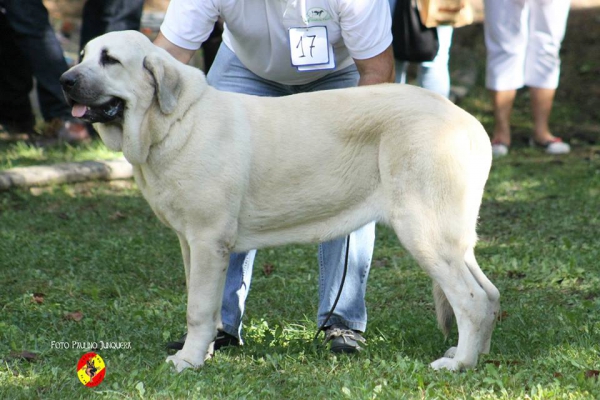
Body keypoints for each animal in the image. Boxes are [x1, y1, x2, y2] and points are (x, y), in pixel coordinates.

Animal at [61, 31, 502, 372]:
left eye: (110, 59)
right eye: (82, 56)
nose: (65, 80)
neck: (172, 122)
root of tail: (465, 119)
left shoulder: (207, 239)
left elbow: (197, 308)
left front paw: (188, 361)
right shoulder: (190, 243)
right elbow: (206, 304)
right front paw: (204, 350)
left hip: (424, 231)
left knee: (472, 300)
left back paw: (458, 364)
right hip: (452, 237)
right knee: (490, 294)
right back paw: (475, 355)